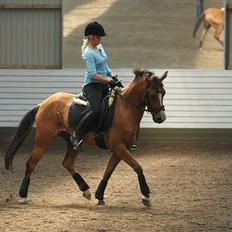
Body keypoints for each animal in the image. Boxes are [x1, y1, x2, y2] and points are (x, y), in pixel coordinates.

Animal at [3, 68, 167, 207]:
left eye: (164, 93)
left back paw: (85, 190)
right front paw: (146, 196)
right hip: (43, 140)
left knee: (68, 163)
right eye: (153, 95)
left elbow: (108, 171)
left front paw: (99, 195)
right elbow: (137, 167)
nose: (161, 117)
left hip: (71, 141)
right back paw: (23, 196)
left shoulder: (119, 149)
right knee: (31, 163)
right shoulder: (119, 147)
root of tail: (43, 103)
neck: (125, 109)